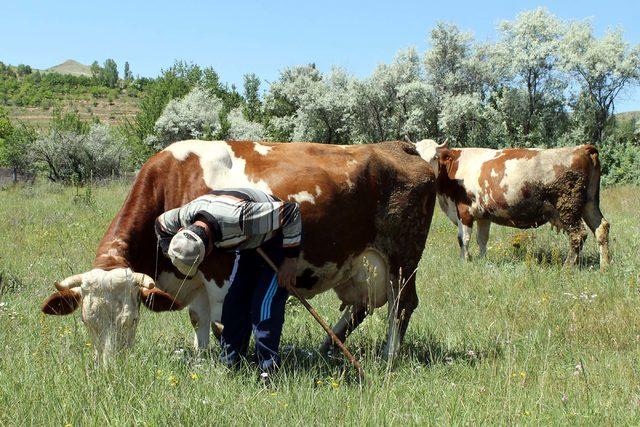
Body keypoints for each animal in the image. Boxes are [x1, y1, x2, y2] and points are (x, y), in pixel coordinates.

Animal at [416, 139, 608, 270]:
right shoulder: (483, 215)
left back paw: (568, 265)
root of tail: (582, 148)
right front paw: (481, 260)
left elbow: (464, 239)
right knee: (602, 228)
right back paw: (605, 265)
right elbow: (482, 239)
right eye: (416, 156)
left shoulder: (464, 211)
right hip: (589, 203)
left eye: (435, 157)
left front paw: (465, 261)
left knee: (578, 235)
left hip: (568, 207)